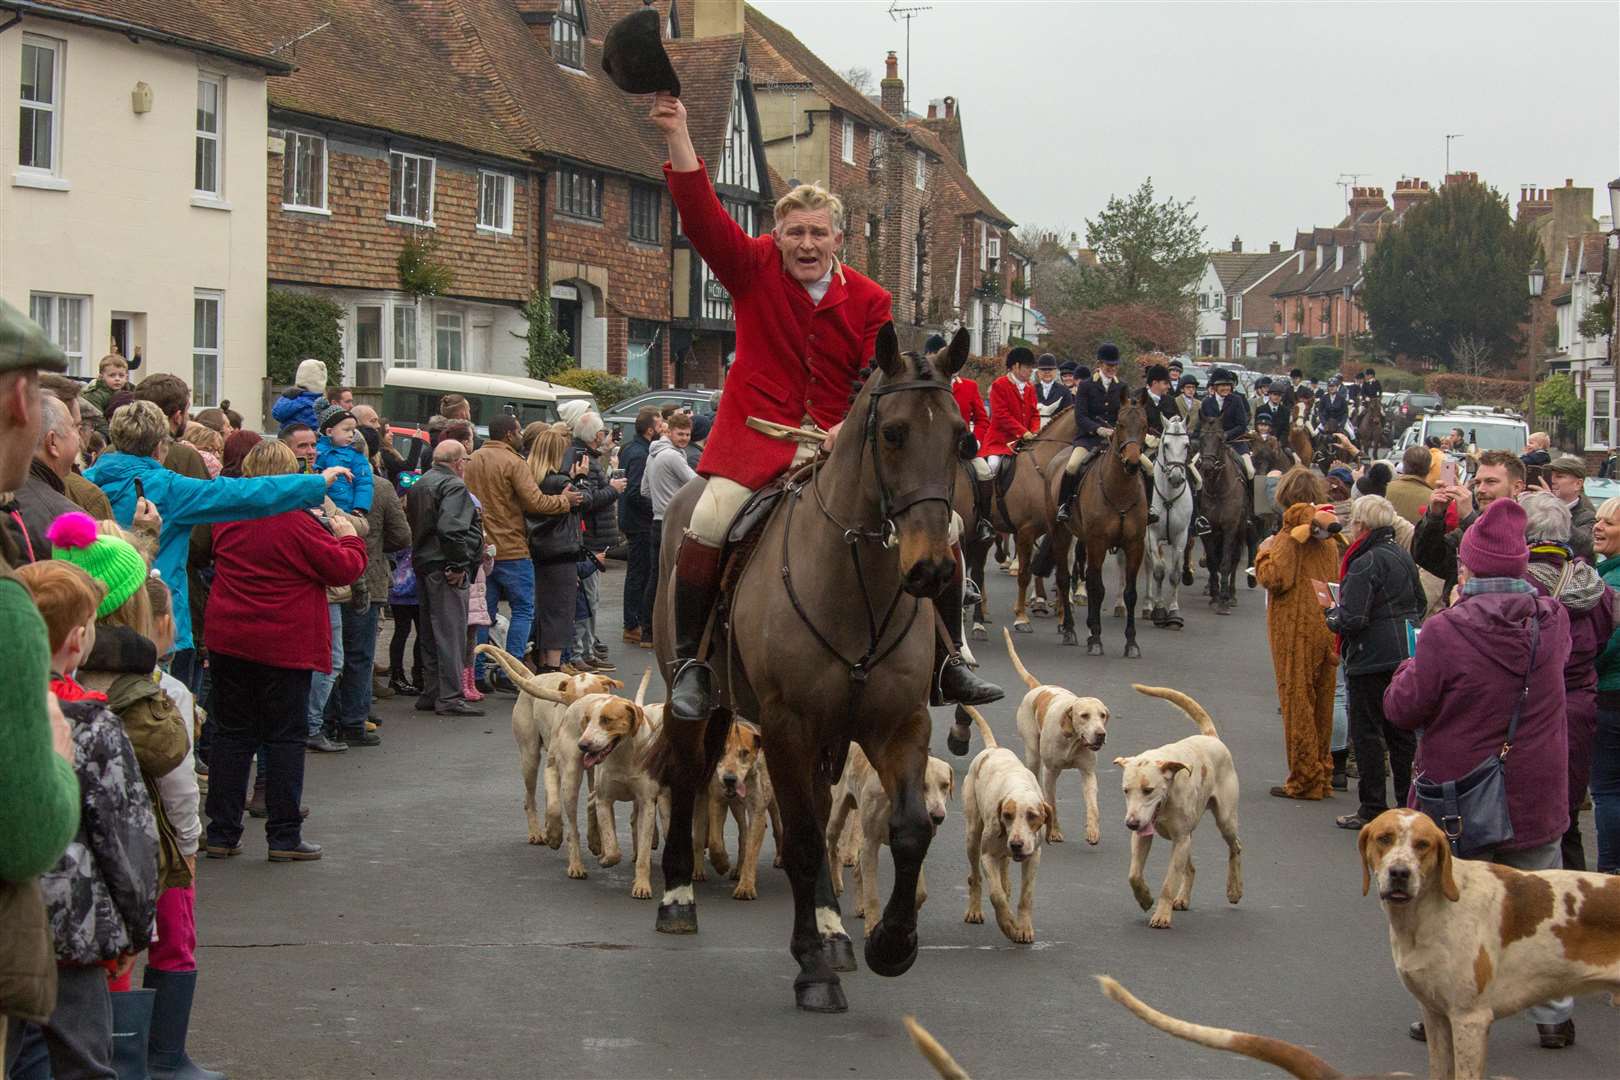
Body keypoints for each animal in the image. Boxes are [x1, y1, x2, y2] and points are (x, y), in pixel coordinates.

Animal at [648, 320, 972, 1016]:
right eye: (893, 433)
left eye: (962, 437)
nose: (932, 568)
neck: (857, 581)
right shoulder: (787, 727)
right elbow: (797, 841)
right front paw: (812, 969)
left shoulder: (898, 725)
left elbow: (907, 830)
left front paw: (889, 944)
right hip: (698, 700)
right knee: (687, 775)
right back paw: (679, 897)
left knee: (822, 810)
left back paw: (834, 931)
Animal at [1043, 395, 1146, 650]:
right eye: (1119, 424)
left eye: (1145, 425)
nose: (1132, 463)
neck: (1120, 490)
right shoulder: (1098, 542)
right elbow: (1097, 588)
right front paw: (1097, 638)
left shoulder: (1135, 544)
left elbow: (1130, 593)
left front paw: (1131, 642)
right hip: (1061, 534)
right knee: (1064, 577)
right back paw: (1069, 629)